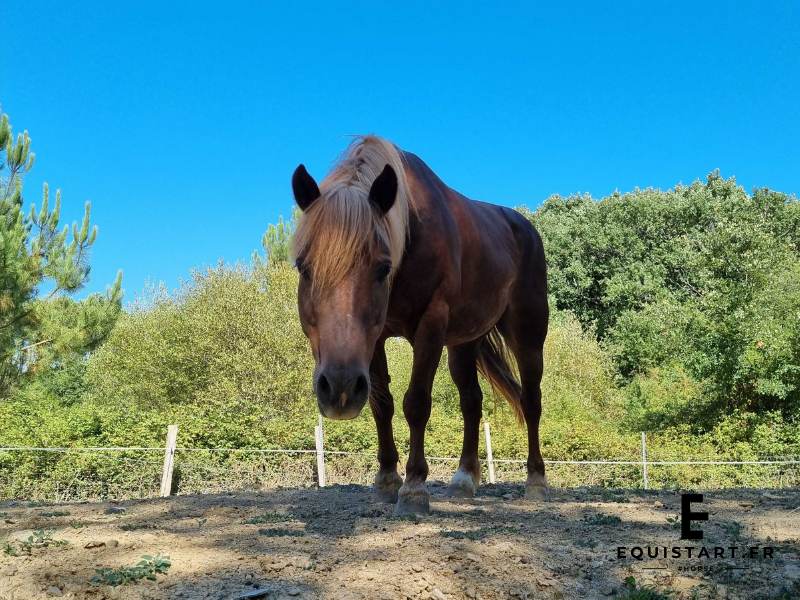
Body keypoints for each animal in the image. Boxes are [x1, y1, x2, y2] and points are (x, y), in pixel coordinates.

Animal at [290, 136, 548, 515]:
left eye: (383, 268)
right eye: (303, 266)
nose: (339, 388)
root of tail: (524, 226)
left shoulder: (430, 325)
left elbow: (416, 403)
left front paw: (413, 488)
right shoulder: (375, 339)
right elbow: (382, 404)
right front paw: (385, 480)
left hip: (528, 335)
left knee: (531, 401)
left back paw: (536, 481)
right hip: (463, 344)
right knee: (472, 402)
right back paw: (464, 480)